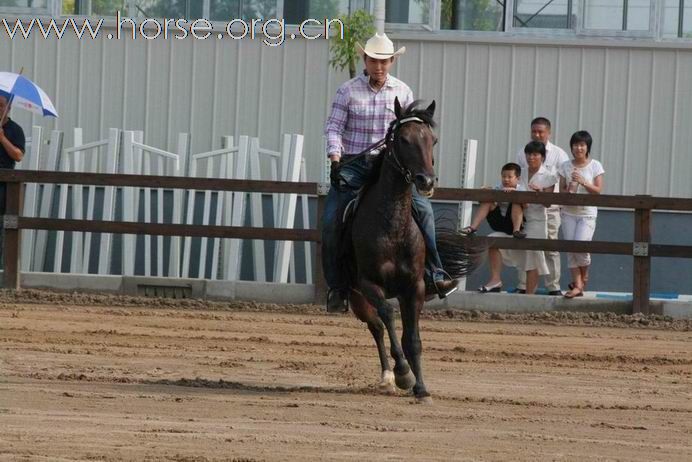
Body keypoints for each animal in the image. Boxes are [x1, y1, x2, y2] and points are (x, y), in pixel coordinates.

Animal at [344, 99, 482, 402]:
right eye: (403, 140)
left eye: (433, 140)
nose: (426, 181)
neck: (393, 226)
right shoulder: (369, 284)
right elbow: (387, 315)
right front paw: (404, 373)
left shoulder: (414, 287)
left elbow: (413, 339)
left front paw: (420, 388)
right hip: (356, 296)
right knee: (376, 325)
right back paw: (388, 375)